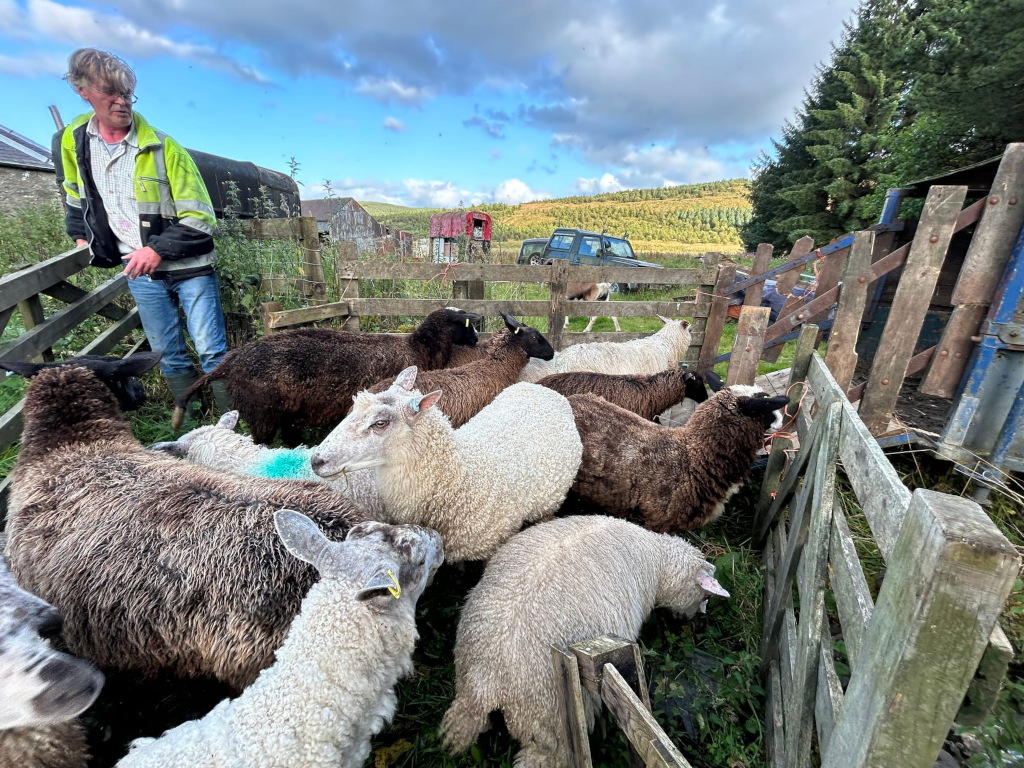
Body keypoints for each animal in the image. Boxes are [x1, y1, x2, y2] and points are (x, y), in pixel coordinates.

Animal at [186, 306, 482, 445]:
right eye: (467, 325)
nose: (477, 340)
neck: (420, 347)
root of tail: (232, 360)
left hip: (281, 411)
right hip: (261, 413)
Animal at [440, 515, 729, 768]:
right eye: (705, 596)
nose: (693, 621)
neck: (657, 562)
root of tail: (485, 682)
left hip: (468, 682)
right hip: (549, 725)